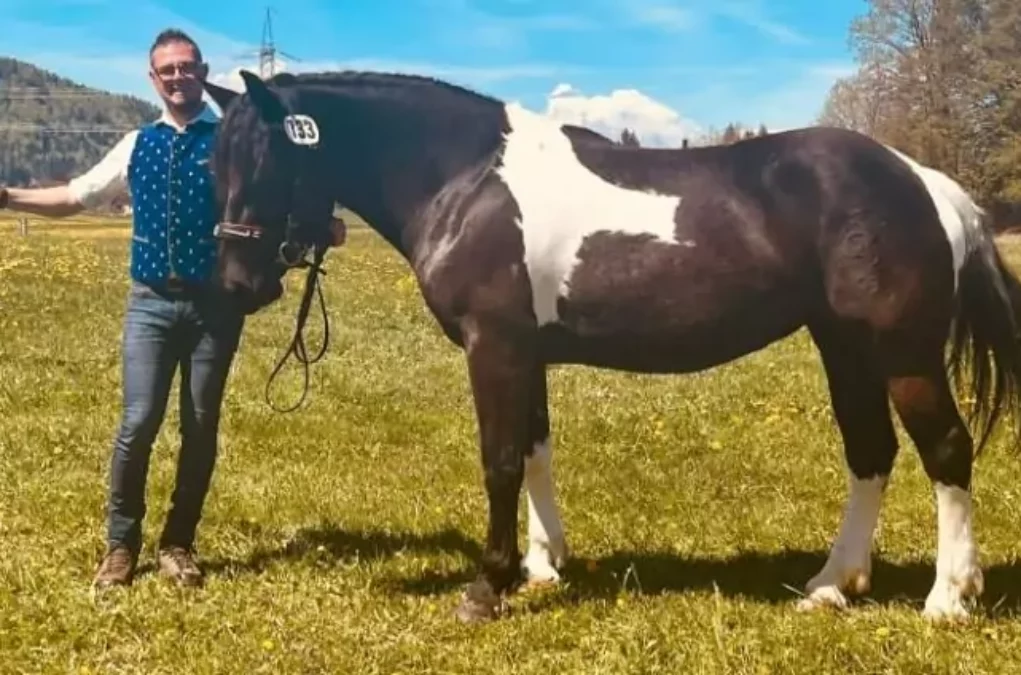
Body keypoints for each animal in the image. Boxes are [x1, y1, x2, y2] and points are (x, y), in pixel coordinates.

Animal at [201, 69, 1021, 624]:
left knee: (945, 452)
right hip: (844, 347)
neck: (466, 180)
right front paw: (542, 566)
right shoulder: (526, 353)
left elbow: (500, 460)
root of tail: (920, 180)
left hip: (902, 353)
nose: (236, 282)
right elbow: (535, 450)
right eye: (214, 164)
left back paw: (949, 597)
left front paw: (486, 587)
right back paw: (830, 585)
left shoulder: (493, 347)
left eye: (266, 159)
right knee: (870, 453)